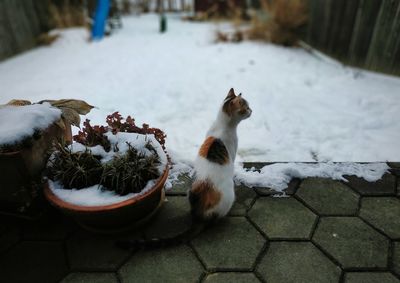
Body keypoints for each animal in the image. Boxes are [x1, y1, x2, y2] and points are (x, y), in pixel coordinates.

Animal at [117, 88, 252, 248]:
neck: (222, 126)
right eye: (245, 107)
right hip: (228, 196)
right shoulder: (232, 152)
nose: (252, 110)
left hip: (190, 191)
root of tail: (199, 215)